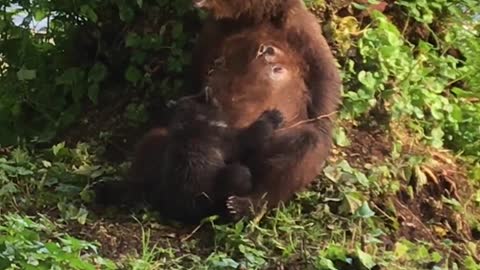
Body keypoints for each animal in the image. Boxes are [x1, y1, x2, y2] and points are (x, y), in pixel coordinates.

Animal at [189, 0, 344, 217]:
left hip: (273, 141)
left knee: (295, 158)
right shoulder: (216, 34)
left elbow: (325, 80)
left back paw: (241, 204)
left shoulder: (302, 33)